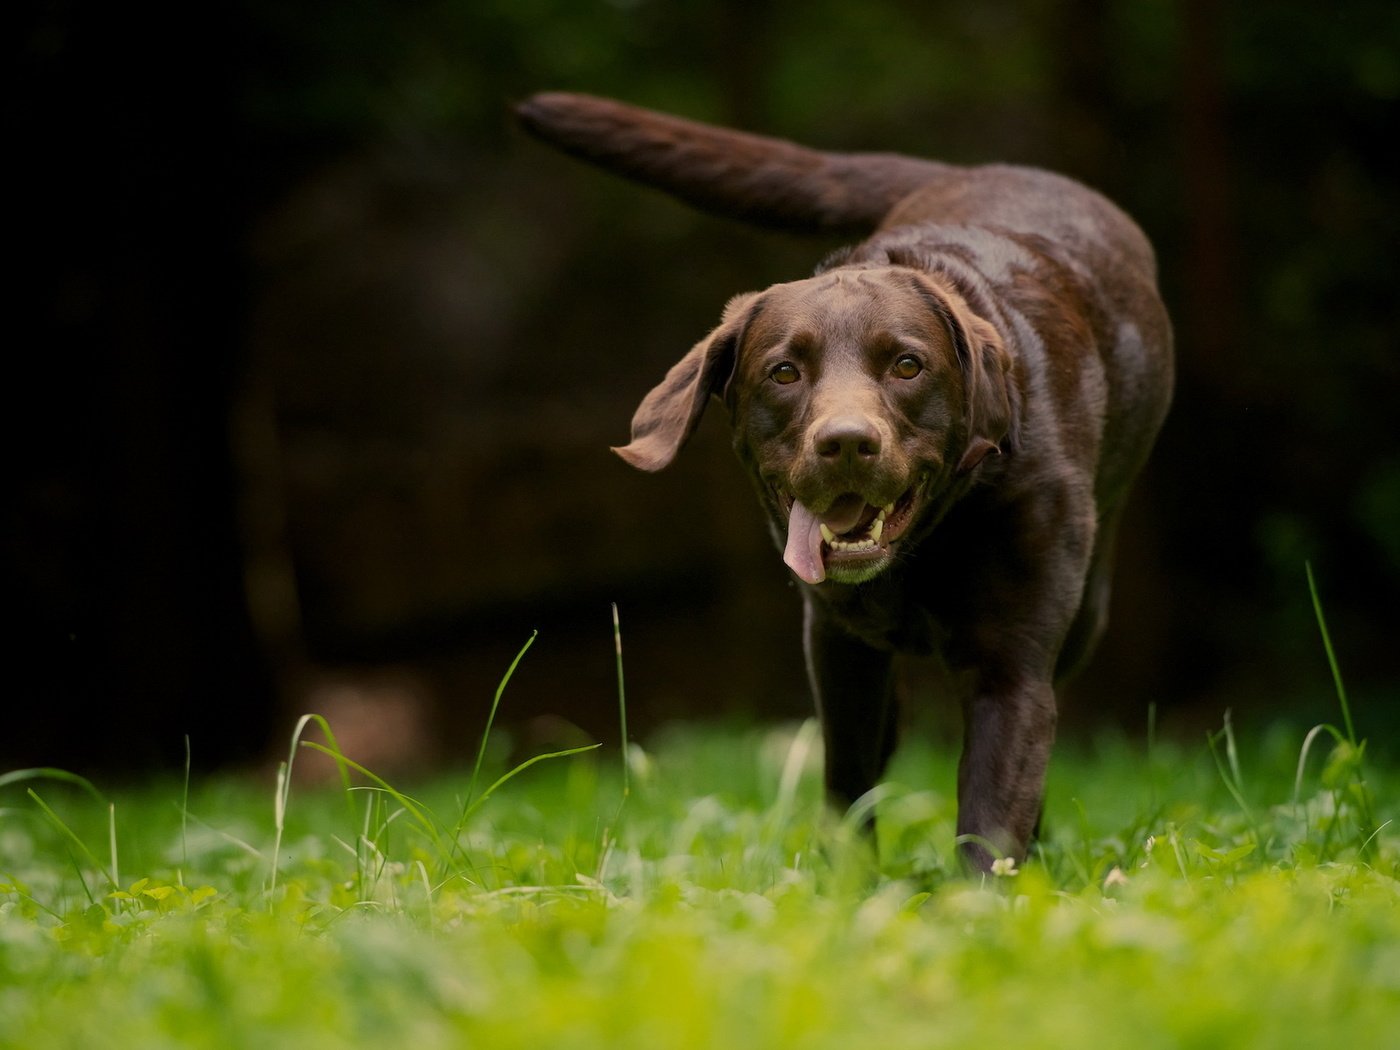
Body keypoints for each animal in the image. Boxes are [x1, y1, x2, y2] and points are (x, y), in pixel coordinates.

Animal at [515, 92, 1170, 873]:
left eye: (908, 365)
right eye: (784, 371)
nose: (847, 442)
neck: (924, 548)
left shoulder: (1011, 665)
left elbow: (992, 808)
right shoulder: (838, 649)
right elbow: (849, 786)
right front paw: (848, 883)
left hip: (1086, 610)